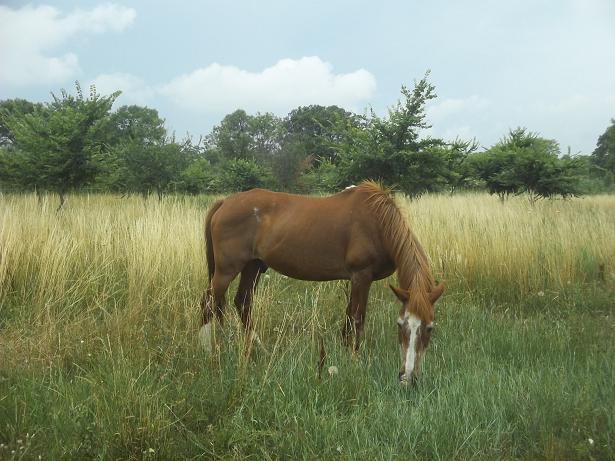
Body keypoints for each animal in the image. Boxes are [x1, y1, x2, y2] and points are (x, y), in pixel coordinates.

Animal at [200, 181, 446, 382]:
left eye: (429, 328)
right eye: (400, 324)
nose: (408, 377)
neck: (378, 223)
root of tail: (225, 202)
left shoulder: (355, 279)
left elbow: (348, 316)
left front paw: (345, 352)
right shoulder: (361, 276)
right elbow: (357, 317)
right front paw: (355, 359)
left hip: (253, 266)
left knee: (243, 302)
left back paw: (259, 349)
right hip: (226, 270)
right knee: (208, 303)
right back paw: (206, 350)